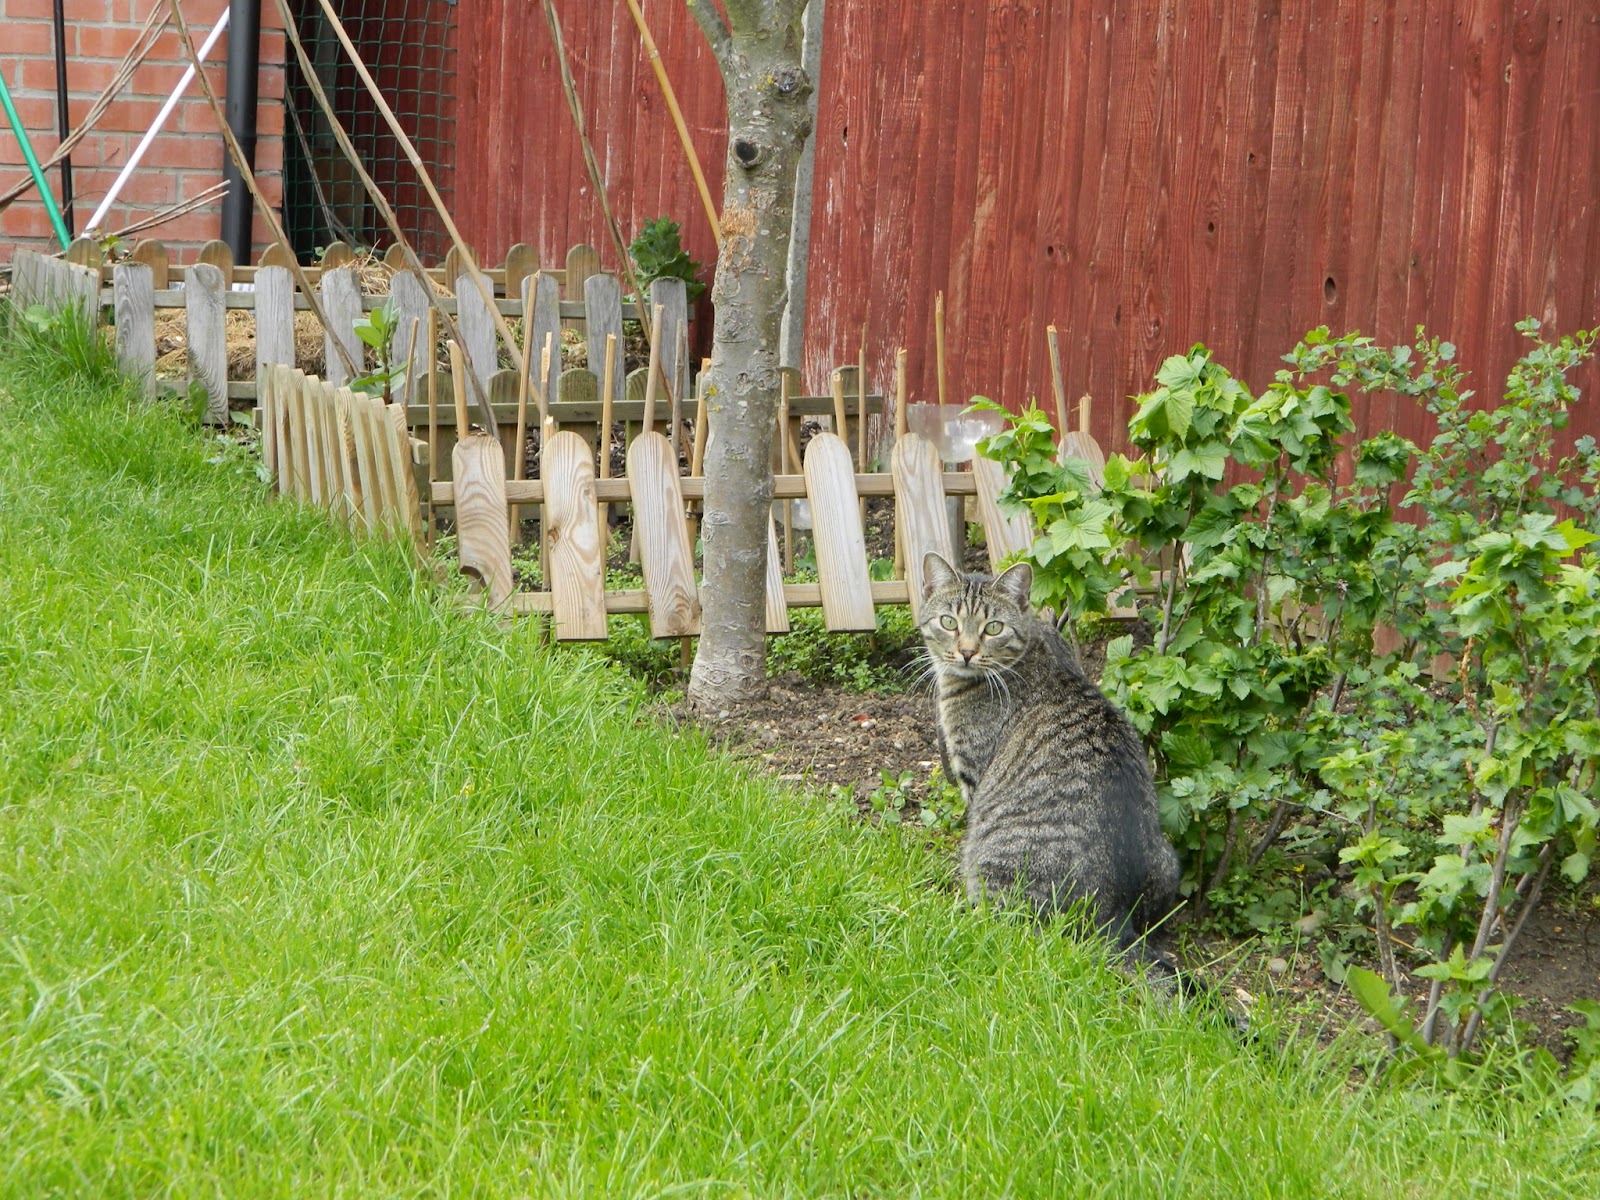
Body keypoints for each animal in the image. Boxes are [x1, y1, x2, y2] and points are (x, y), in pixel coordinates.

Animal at [918, 552, 1182, 971]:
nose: (967, 651)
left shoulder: (973, 775)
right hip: (1168, 859)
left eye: (993, 628)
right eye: (948, 622)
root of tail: (1114, 921)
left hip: (994, 866)